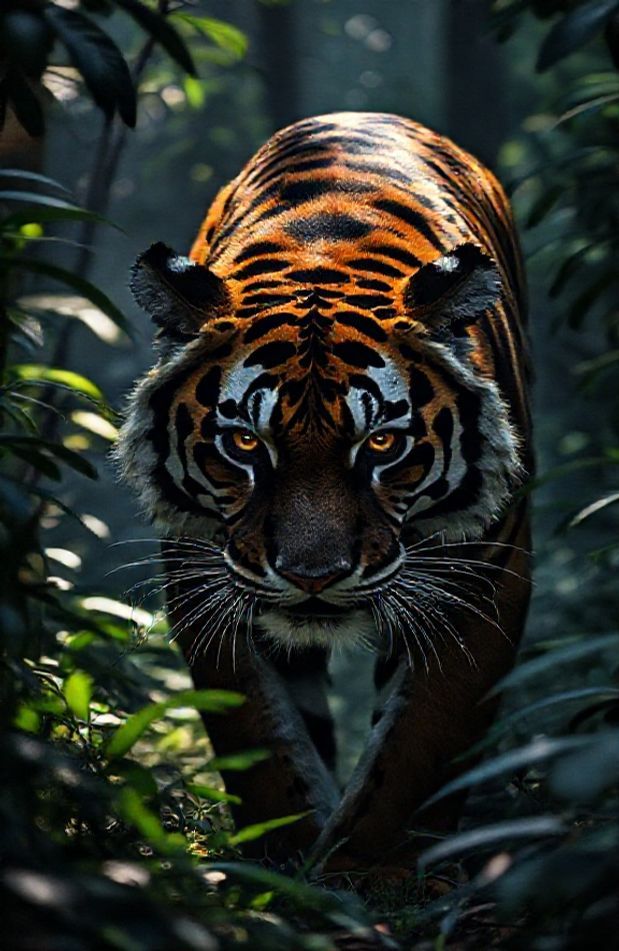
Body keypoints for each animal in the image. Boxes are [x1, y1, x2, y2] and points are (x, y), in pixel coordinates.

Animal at [117, 111, 532, 873]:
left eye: (381, 446)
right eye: (246, 444)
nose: (313, 576)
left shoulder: (481, 581)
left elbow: (414, 752)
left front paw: (366, 871)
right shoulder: (203, 577)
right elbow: (263, 745)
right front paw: (285, 864)